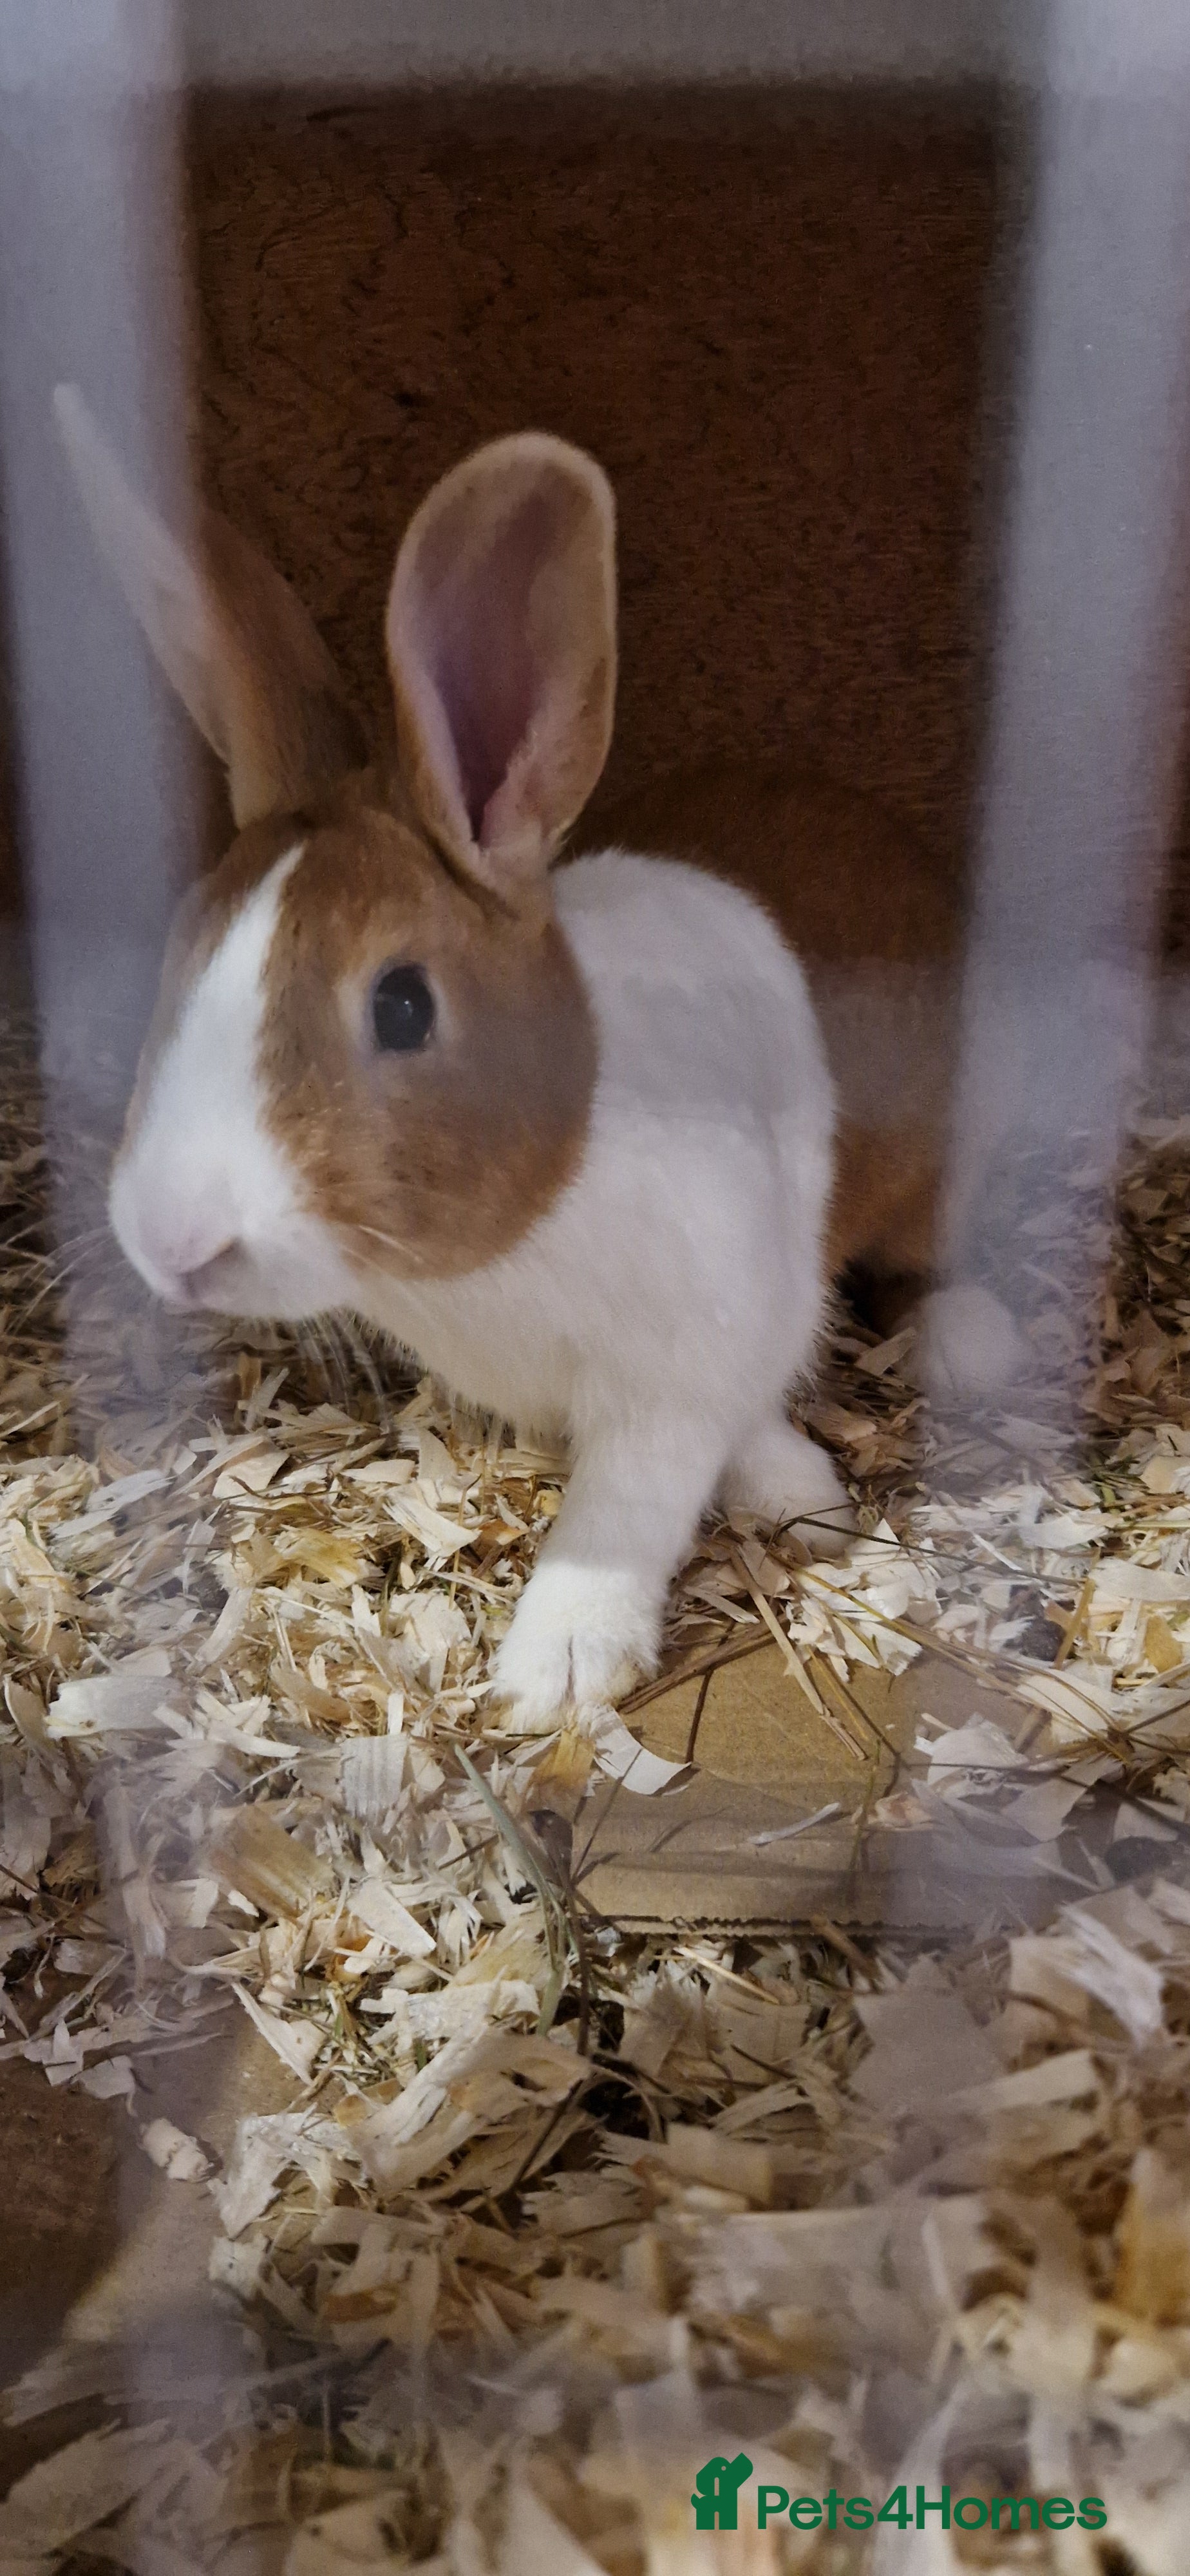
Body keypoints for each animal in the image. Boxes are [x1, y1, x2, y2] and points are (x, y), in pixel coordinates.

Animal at [54, 387, 1021, 1729]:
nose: (172, 1240)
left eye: (404, 1005)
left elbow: (633, 1502)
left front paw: (560, 1664)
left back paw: (967, 1338)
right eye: (177, 959)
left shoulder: (687, 1362)